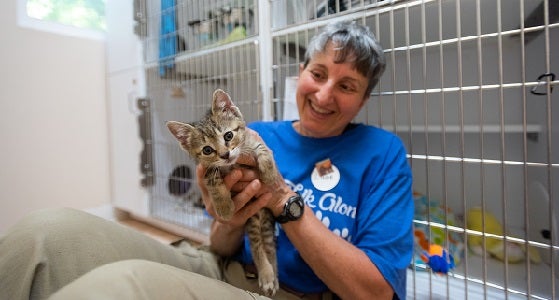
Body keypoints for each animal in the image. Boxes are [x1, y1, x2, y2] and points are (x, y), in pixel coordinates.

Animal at [166, 88, 280, 296]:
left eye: (228, 136)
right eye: (207, 150)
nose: (225, 155)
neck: (233, 164)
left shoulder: (252, 140)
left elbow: (264, 149)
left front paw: (269, 175)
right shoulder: (206, 171)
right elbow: (214, 182)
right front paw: (225, 208)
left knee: (268, 248)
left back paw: (270, 276)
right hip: (252, 219)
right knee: (258, 246)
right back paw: (268, 274)